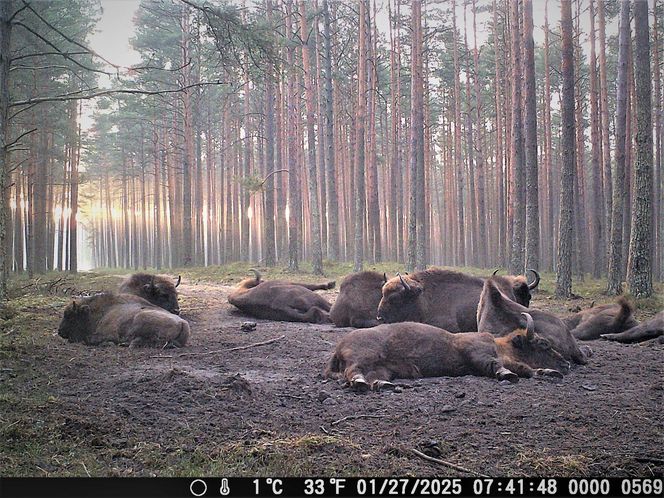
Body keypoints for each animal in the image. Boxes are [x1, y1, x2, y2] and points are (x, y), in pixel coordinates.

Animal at [57, 292, 189, 346]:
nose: (60, 332)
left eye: (69, 315)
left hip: (140, 318)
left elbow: (89, 339)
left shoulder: (109, 334)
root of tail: (183, 323)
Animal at [326, 314, 572, 392]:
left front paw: (549, 372)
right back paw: (360, 383)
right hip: (364, 357)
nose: (566, 364)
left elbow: (526, 368)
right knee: (353, 372)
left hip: (383, 369)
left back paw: (384, 385)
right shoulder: (475, 352)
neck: (502, 346)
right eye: (543, 344)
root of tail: (338, 346)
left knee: (374, 378)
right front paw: (507, 375)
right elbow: (496, 365)